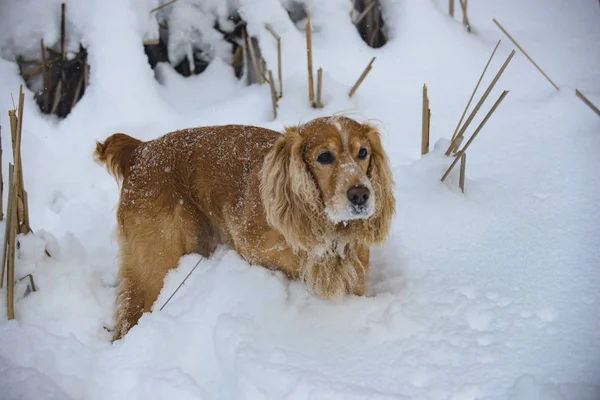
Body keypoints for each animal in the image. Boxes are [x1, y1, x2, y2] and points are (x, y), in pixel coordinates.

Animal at [92, 115, 394, 340]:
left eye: (363, 152)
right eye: (324, 157)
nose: (361, 194)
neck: (324, 230)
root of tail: (141, 149)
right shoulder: (254, 253)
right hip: (155, 263)